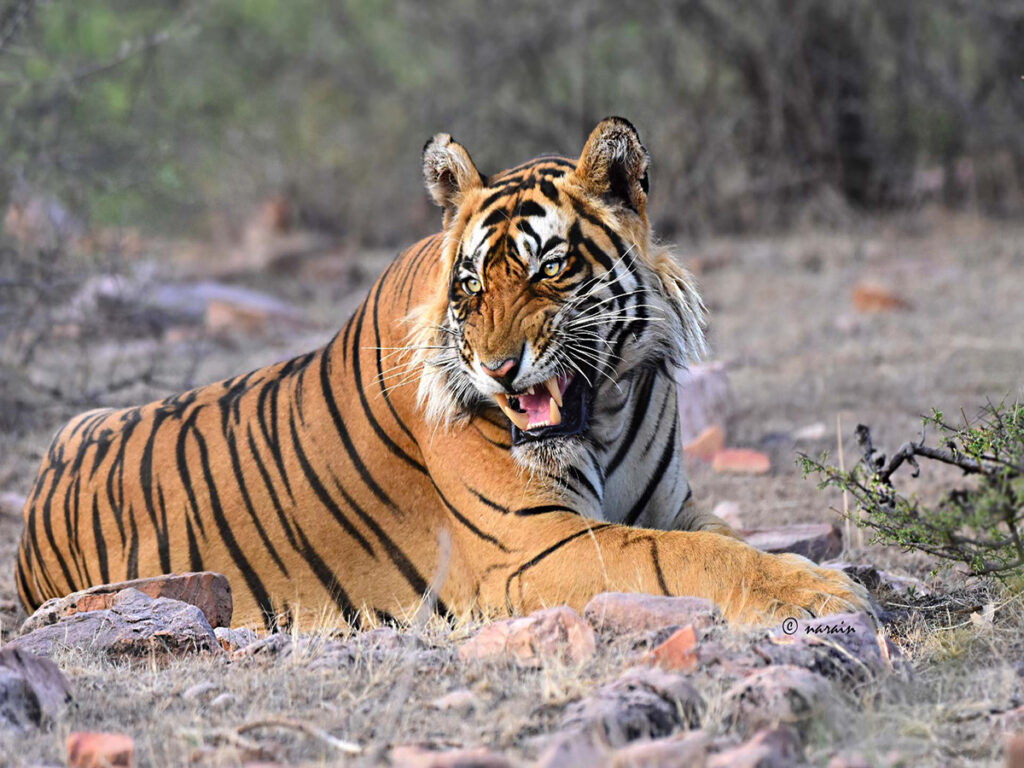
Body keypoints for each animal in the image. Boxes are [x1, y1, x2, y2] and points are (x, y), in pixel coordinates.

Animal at [14, 117, 872, 626]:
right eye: (470, 287)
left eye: (549, 269)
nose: (498, 370)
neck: (606, 409)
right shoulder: (536, 545)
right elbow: (688, 559)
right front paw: (820, 590)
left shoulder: (671, 505)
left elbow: (731, 542)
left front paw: (810, 570)